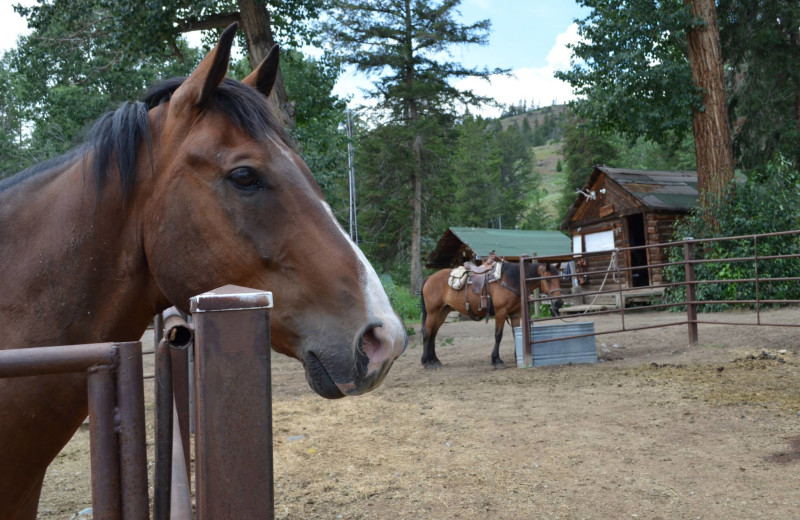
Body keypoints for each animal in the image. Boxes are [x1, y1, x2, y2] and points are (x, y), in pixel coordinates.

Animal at [418, 260, 564, 370]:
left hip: (442, 312)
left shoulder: (516, 314)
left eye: (559, 278)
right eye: (548, 280)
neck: (510, 281)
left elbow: (515, 333)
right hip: (433, 312)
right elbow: (498, 335)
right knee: (427, 332)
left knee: (433, 334)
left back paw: (435, 360)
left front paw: (517, 356)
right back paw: (426, 362)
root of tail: (430, 278)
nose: (559, 302)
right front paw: (496, 360)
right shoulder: (501, 312)